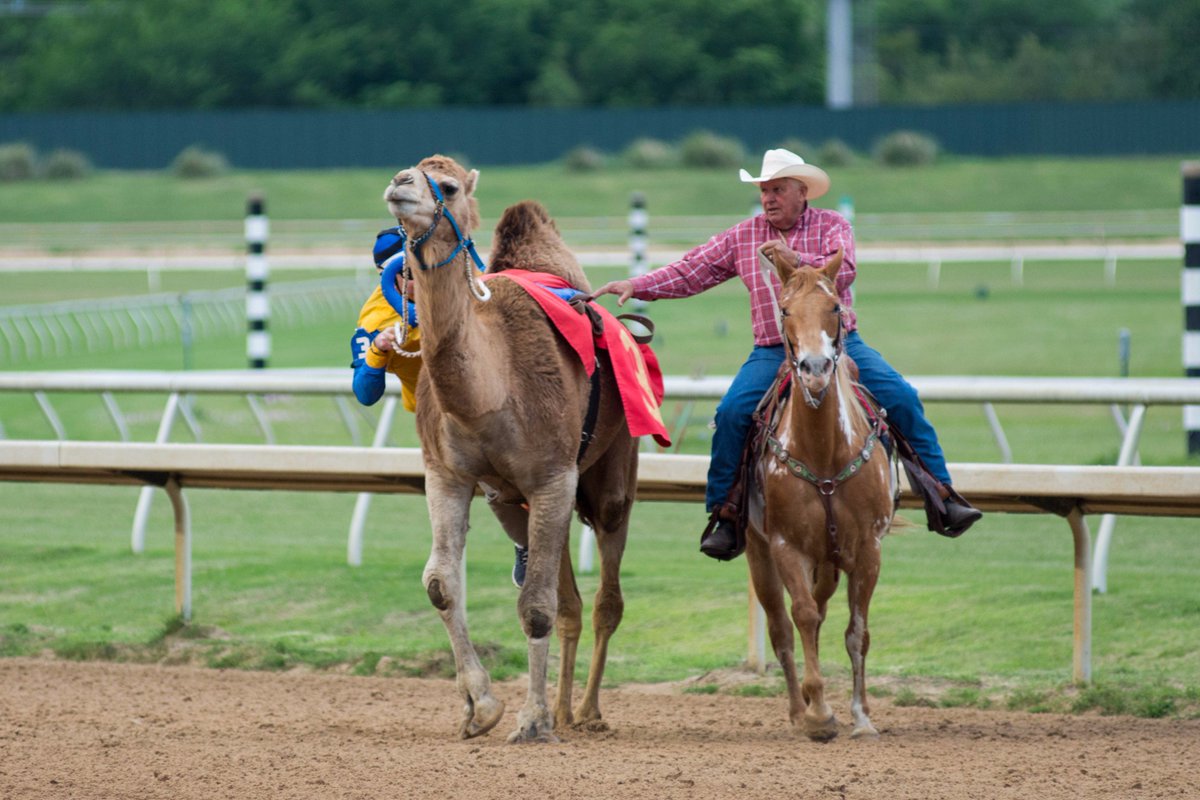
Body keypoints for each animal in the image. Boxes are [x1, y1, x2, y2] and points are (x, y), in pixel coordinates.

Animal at [382, 155, 640, 743]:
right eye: (406, 171)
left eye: (448, 186)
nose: (399, 186)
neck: (490, 391)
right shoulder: (447, 473)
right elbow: (441, 584)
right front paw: (480, 708)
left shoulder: (552, 476)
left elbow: (537, 606)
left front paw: (531, 721)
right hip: (512, 501)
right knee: (570, 599)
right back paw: (566, 710)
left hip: (612, 474)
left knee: (605, 597)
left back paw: (587, 712)